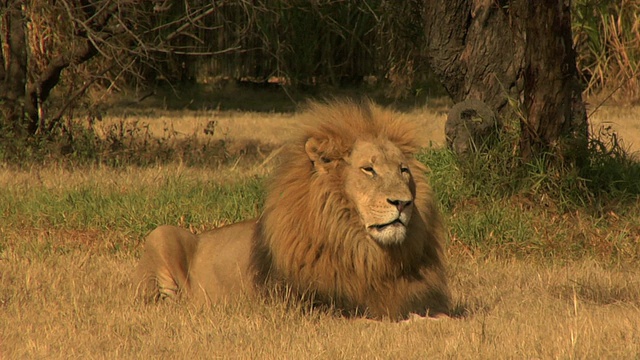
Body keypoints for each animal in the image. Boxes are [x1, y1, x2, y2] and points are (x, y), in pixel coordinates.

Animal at [134, 99, 450, 320]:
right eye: (368, 170)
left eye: (403, 170)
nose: (403, 203)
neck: (363, 251)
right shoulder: (316, 306)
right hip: (161, 234)